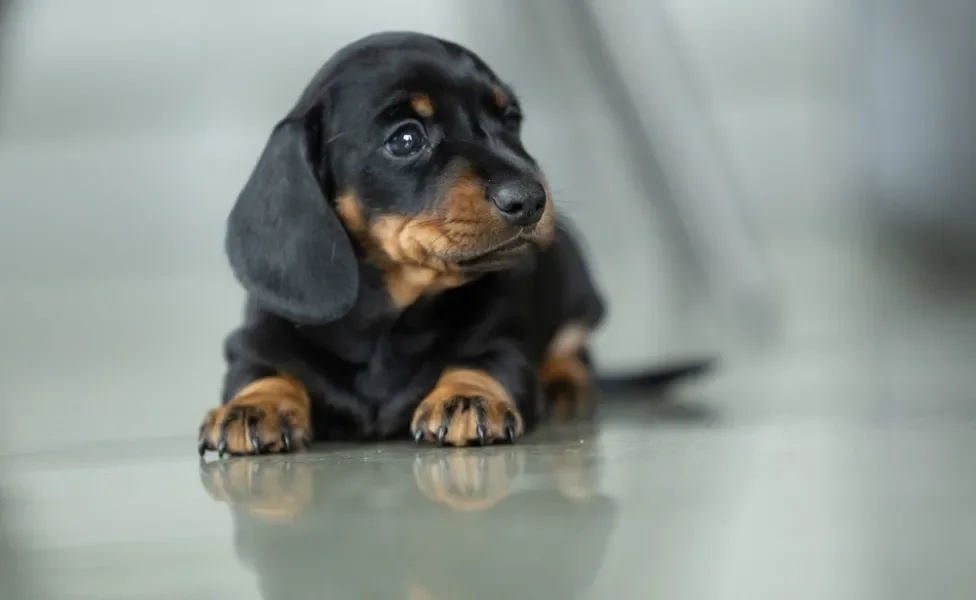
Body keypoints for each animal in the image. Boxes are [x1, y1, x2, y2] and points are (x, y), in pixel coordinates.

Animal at [194, 31, 608, 454]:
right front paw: (254, 406)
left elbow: (485, 362)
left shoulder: (504, 340)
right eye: (405, 139)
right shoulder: (253, 342)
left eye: (510, 119)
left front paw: (468, 396)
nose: (530, 200)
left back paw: (564, 383)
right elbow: (264, 371)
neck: (388, 322)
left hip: (581, 299)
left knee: (575, 349)